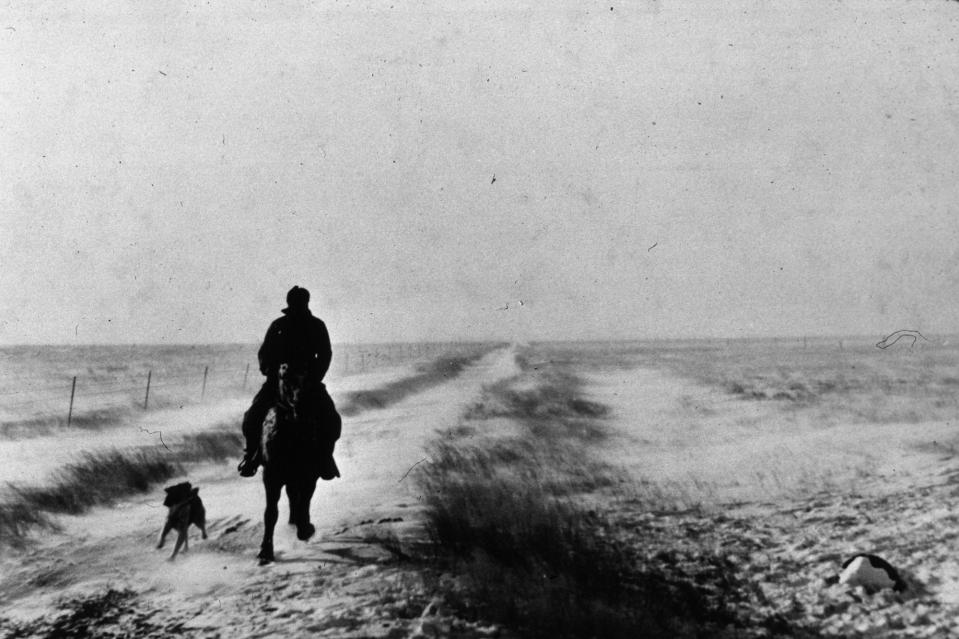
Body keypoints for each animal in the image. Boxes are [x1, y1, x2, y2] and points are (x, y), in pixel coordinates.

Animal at [258, 364, 342, 564]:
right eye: (285, 378)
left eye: (308, 378)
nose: (300, 402)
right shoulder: (275, 477)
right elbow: (273, 512)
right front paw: (266, 551)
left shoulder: (305, 475)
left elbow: (301, 500)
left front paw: (304, 528)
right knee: (292, 497)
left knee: (294, 499)